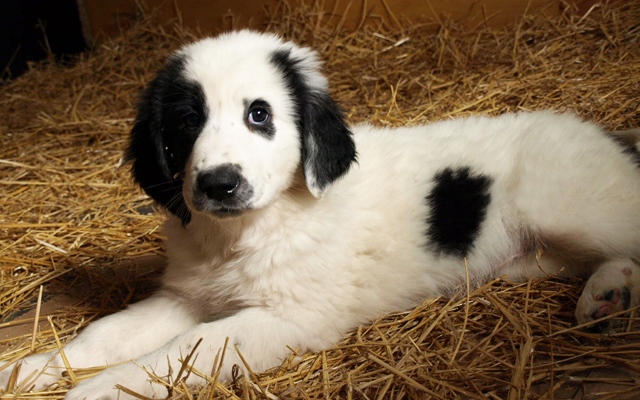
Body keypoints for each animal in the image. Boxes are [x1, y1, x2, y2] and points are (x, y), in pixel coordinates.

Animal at [1, 29, 640, 398]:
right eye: (186, 122)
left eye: (259, 114)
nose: (218, 184)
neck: (248, 231)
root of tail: (607, 137)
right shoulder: (186, 296)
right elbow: (108, 332)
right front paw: (34, 368)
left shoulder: (290, 316)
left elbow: (187, 352)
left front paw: (98, 390)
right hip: (534, 255)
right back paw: (607, 295)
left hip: (569, 206)